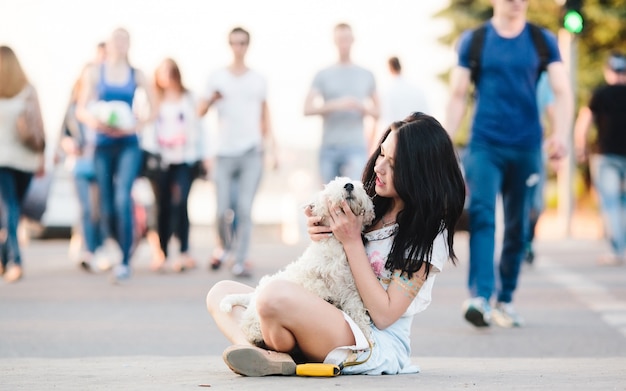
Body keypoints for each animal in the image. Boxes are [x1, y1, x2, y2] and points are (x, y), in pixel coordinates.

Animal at [219, 177, 376, 346]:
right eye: (332, 185)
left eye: (360, 186)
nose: (349, 185)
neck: (337, 243)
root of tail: (254, 294)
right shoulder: (305, 273)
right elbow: (314, 283)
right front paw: (326, 295)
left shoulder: (350, 289)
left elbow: (359, 313)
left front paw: (366, 336)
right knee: (247, 323)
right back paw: (256, 334)